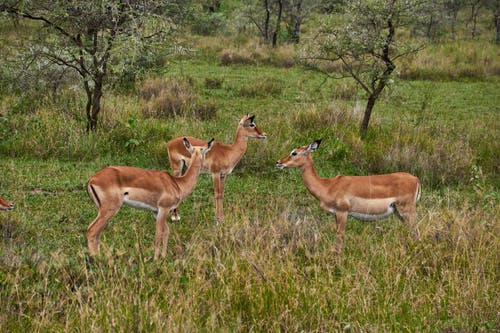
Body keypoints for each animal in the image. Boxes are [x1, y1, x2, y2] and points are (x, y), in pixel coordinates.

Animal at [85, 136, 213, 258]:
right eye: (204, 151)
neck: (177, 183)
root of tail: (92, 179)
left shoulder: (155, 212)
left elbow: (167, 231)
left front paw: (163, 256)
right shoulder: (163, 209)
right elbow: (158, 234)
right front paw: (156, 259)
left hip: (102, 211)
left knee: (97, 234)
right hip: (109, 209)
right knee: (91, 231)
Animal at [276, 139, 420, 250]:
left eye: (294, 153)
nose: (279, 163)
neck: (328, 186)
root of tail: (416, 179)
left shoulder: (343, 212)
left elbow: (339, 238)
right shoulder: (335, 214)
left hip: (407, 210)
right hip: (399, 213)